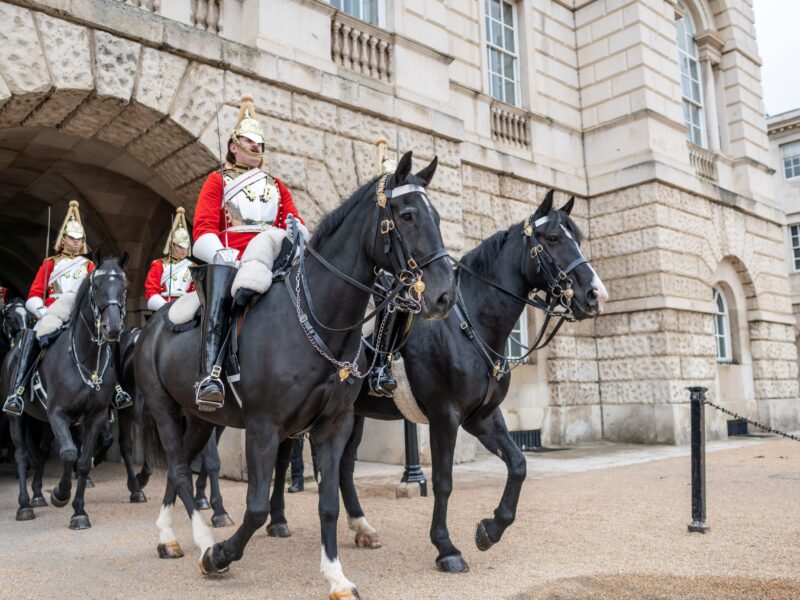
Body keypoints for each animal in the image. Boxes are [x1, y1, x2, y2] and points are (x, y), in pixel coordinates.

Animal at [0, 251, 128, 528]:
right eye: (97, 287)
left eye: (124, 287)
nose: (112, 328)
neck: (86, 358)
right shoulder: (58, 413)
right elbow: (69, 453)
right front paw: (60, 494)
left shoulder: (95, 416)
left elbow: (83, 461)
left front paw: (79, 511)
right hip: (17, 417)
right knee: (22, 454)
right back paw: (25, 505)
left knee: (41, 451)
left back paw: (37, 495)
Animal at [138, 152, 456, 596]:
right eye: (407, 215)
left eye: (438, 216)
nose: (445, 295)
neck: (316, 317)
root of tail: (152, 323)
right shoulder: (263, 426)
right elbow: (255, 508)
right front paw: (221, 555)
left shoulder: (333, 425)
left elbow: (328, 504)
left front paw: (337, 577)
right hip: (164, 409)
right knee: (182, 470)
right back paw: (203, 542)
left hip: (201, 418)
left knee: (179, 465)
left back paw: (168, 536)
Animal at [274, 192, 608, 572]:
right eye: (552, 238)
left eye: (577, 238)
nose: (596, 295)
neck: (471, 322)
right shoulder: (445, 416)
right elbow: (443, 481)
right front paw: (446, 547)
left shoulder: (482, 418)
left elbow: (518, 465)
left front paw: (491, 529)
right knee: (283, 457)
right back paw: (274, 520)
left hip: (352, 414)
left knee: (343, 466)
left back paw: (360, 527)